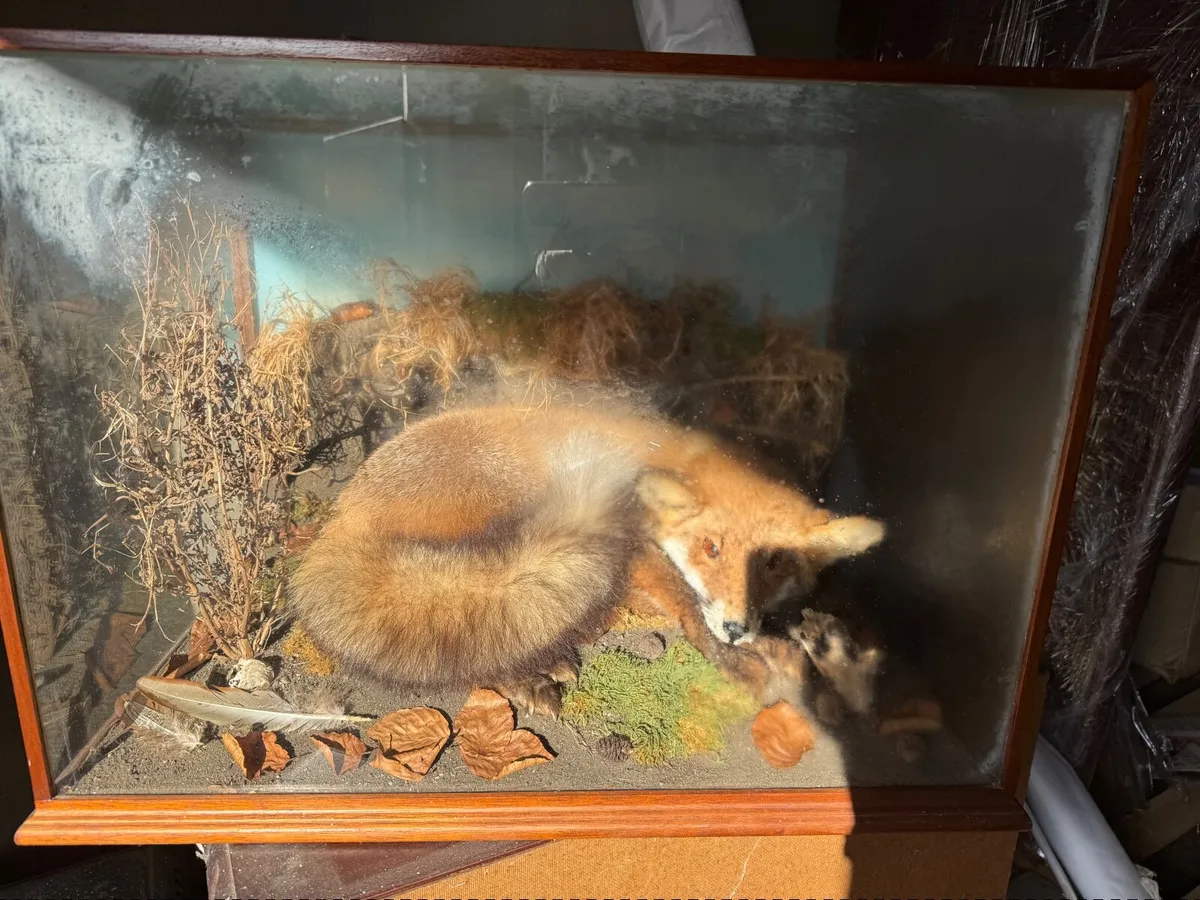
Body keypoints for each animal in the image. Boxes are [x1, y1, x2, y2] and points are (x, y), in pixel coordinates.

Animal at [290, 399, 886, 715]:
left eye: (775, 563)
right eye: (711, 549)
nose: (738, 627)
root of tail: (341, 518)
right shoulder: (636, 551)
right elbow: (690, 607)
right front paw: (742, 660)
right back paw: (527, 678)